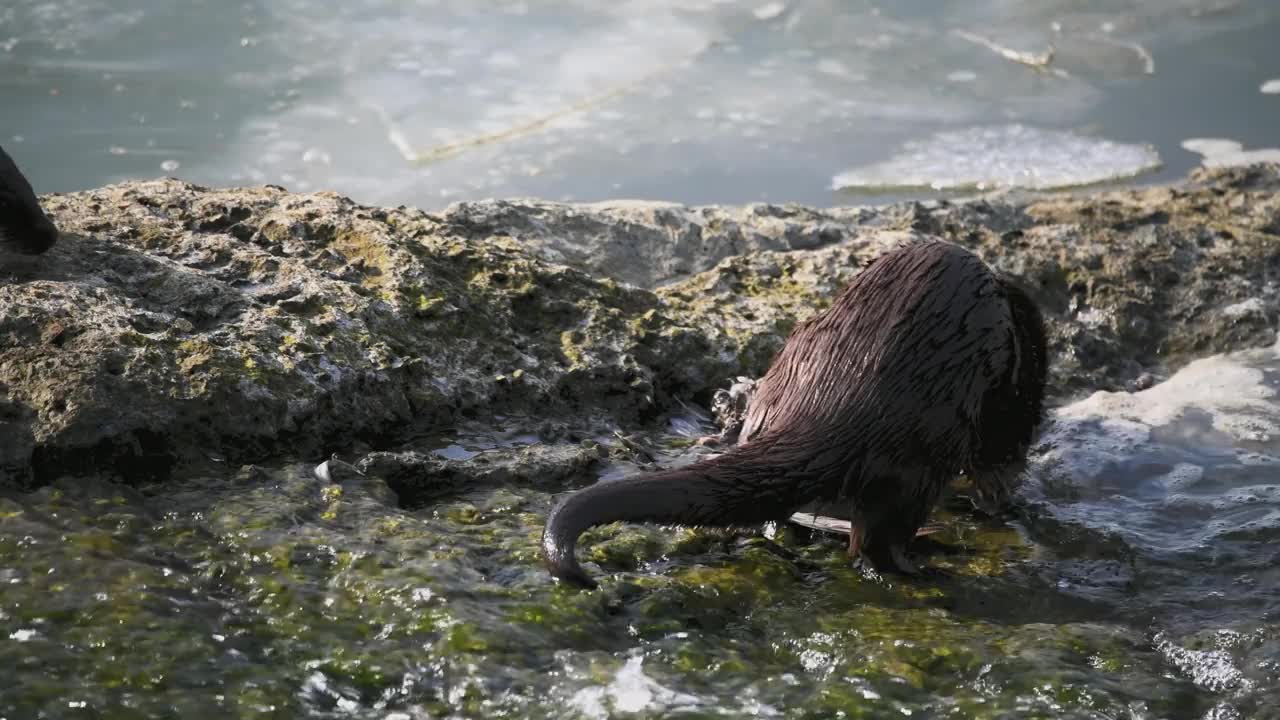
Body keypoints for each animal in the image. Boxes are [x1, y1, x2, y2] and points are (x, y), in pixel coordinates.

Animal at [542, 238, 1049, 586]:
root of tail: (839, 401)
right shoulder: (1013, 400)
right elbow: (1001, 459)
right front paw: (997, 501)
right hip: (925, 441)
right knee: (876, 541)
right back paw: (922, 567)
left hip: (786, 370)